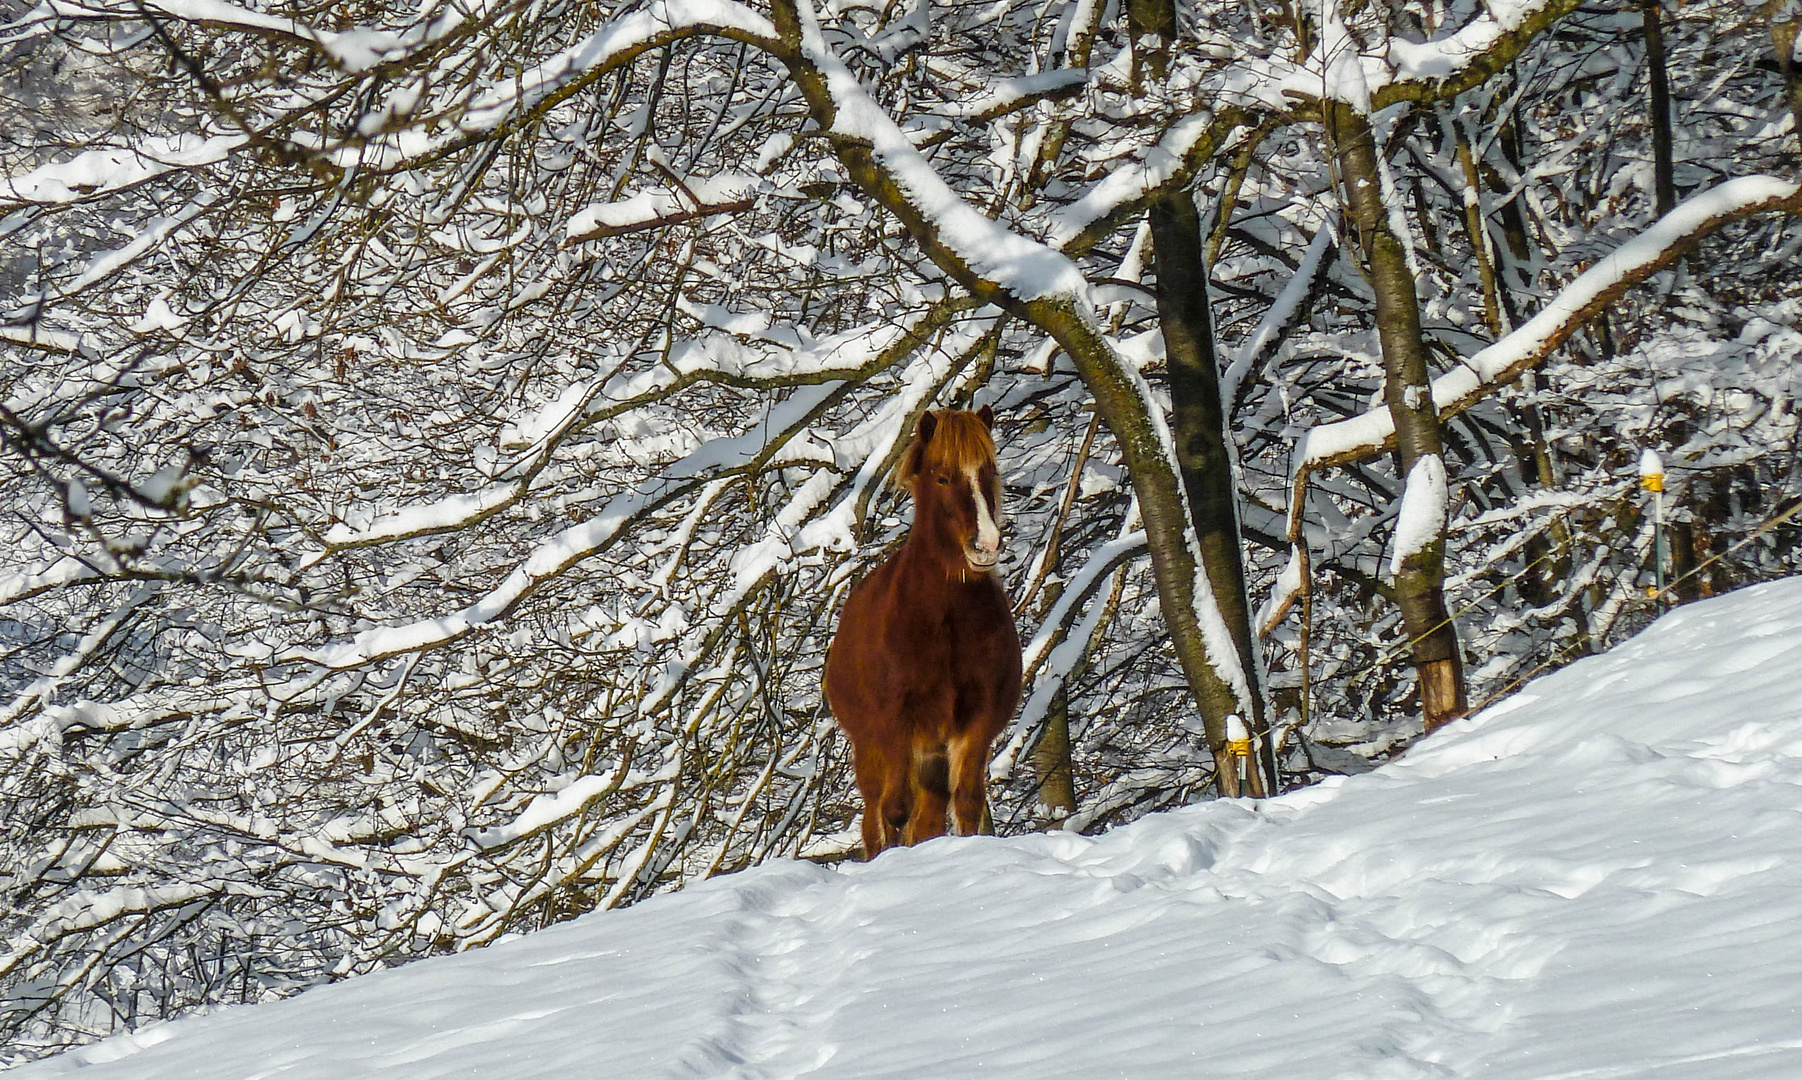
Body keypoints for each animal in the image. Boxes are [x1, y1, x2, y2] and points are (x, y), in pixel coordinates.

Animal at [825, 405, 1023, 861]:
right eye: (943, 477)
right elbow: (895, 812)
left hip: (931, 756)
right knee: (876, 816)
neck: (943, 622)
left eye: (988, 471)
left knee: (929, 816)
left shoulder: (975, 722)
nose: (986, 544)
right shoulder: (895, 724)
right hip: (872, 749)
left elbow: (966, 802)